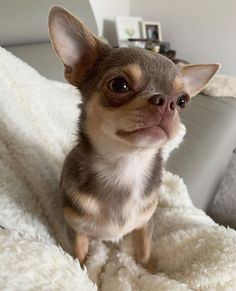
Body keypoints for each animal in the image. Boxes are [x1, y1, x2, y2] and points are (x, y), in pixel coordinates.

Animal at [48, 5, 219, 272]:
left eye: (183, 100)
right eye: (119, 85)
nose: (167, 101)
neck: (125, 166)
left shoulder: (144, 225)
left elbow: (144, 251)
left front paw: (150, 270)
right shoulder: (77, 231)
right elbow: (81, 259)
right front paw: (85, 271)